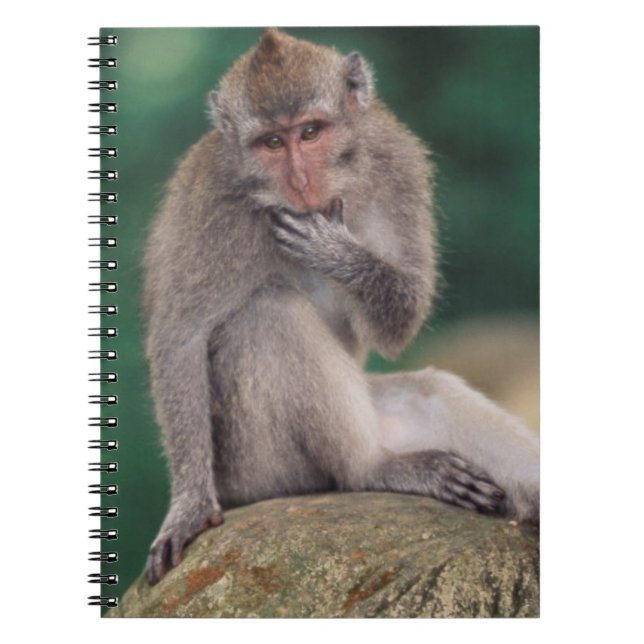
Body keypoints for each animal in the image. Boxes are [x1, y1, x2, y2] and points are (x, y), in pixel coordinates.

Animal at [142, 28, 539, 586]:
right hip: (258, 470)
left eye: (311, 133)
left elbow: (400, 321)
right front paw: (190, 506)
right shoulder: (212, 204)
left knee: (432, 392)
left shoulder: (398, 161)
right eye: (272, 142)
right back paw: (371, 468)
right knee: (269, 314)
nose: (300, 182)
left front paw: (337, 252)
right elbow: (180, 338)